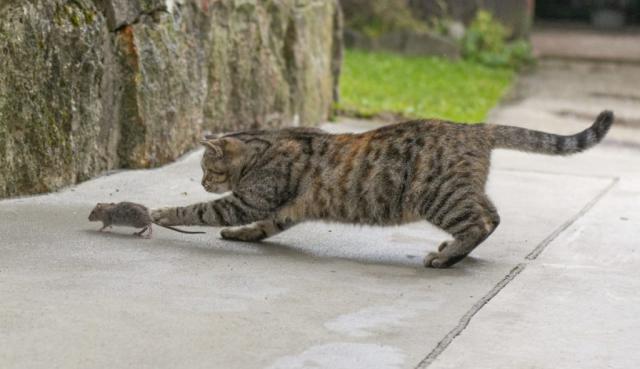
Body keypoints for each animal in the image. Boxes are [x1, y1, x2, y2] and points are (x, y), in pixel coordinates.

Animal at [151, 110, 616, 268]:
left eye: (206, 168)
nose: (200, 180)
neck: (263, 146)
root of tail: (473, 127)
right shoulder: (284, 210)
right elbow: (263, 227)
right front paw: (240, 235)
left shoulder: (249, 199)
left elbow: (200, 211)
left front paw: (160, 213)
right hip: (461, 190)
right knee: (494, 215)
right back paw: (453, 252)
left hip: (439, 196)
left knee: (481, 222)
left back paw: (445, 258)